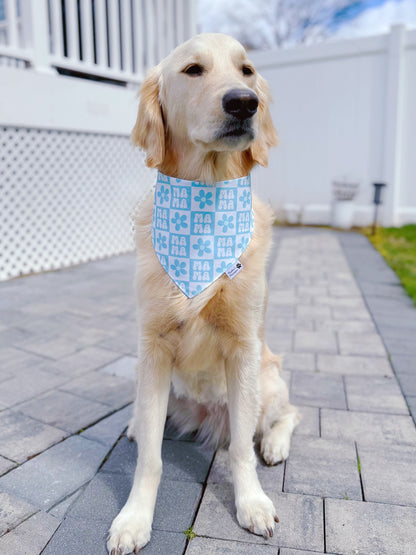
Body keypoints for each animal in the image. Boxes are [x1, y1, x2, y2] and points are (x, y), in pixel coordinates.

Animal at [107, 32, 300, 552]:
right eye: (194, 70)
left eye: (247, 70)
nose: (244, 103)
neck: (204, 212)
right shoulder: (153, 348)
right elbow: (151, 457)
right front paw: (134, 518)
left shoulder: (244, 348)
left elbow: (241, 451)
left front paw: (252, 504)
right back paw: (134, 425)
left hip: (268, 379)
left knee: (286, 415)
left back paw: (274, 444)